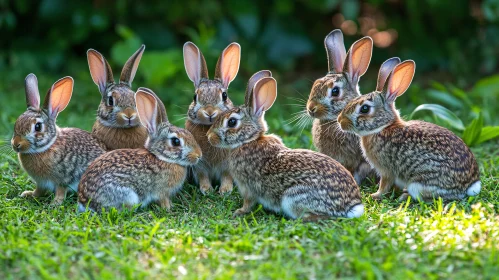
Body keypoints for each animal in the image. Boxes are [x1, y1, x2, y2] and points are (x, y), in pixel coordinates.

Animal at [12, 73, 105, 205]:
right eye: (16, 123)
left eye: (38, 127)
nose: (16, 144)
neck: (48, 146)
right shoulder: (41, 183)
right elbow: (39, 191)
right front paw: (29, 194)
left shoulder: (65, 177)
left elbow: (61, 191)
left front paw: (55, 203)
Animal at [184, 42, 242, 195]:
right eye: (195, 97)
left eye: (224, 96)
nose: (209, 111)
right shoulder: (200, 165)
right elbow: (203, 176)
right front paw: (207, 190)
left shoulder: (227, 165)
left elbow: (227, 176)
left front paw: (225, 190)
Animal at [207, 71, 364, 221]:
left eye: (232, 122)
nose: (209, 137)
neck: (249, 140)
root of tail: (351, 206)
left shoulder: (247, 187)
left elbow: (248, 202)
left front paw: (239, 212)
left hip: (293, 198)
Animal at [338, 60, 482, 201]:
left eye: (365, 109)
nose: (340, 120)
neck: (383, 127)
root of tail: (470, 185)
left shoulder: (387, 170)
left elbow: (385, 184)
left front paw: (375, 195)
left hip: (419, 184)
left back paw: (405, 196)